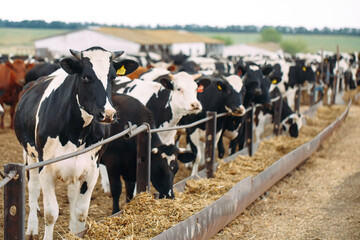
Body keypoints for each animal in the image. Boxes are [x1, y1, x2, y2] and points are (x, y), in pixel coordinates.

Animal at [13, 47, 138, 240]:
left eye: (113, 77)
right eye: (86, 77)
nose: (108, 114)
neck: (76, 132)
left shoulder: (92, 168)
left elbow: (81, 211)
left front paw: (77, 231)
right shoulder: (45, 169)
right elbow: (51, 213)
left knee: (72, 195)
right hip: (29, 155)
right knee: (33, 188)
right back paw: (32, 229)